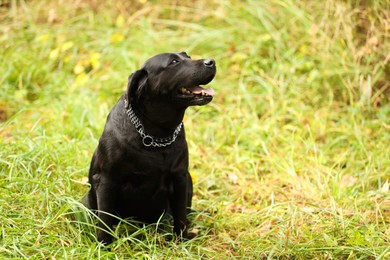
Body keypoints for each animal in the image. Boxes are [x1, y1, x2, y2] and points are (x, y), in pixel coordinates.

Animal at [84, 52, 216, 244]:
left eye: (188, 56)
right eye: (174, 61)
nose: (211, 62)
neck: (156, 136)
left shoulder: (180, 178)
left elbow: (180, 216)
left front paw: (182, 241)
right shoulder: (106, 180)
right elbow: (105, 220)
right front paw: (104, 245)